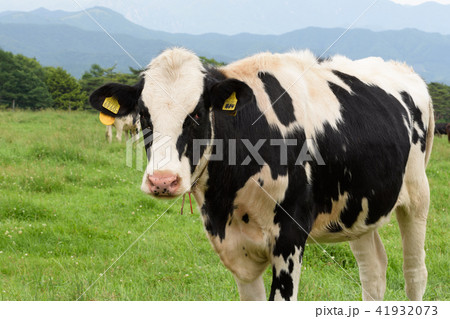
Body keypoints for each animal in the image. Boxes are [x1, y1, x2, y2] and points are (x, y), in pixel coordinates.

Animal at [89, 48, 434, 302]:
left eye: (197, 113)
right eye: (144, 116)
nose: (162, 180)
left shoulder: (290, 237)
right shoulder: (235, 246)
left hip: (418, 196)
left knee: (414, 272)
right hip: (357, 207)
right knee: (373, 270)